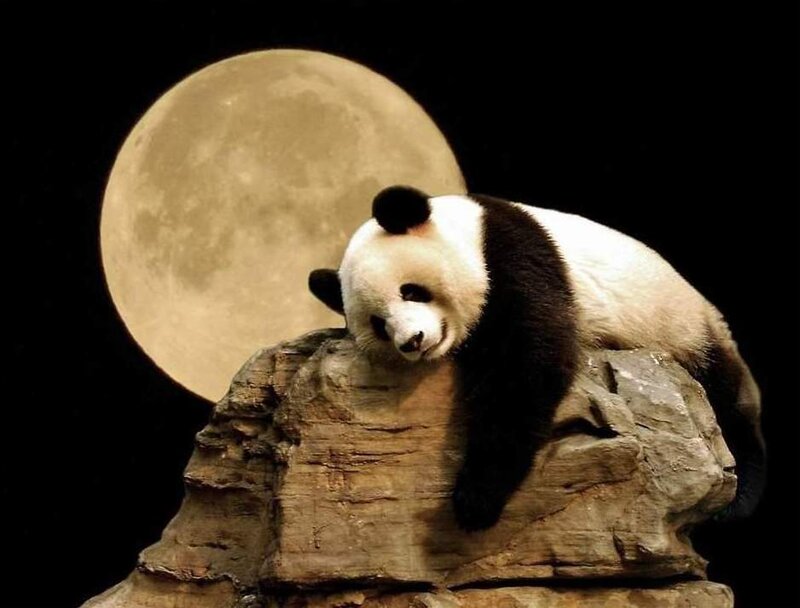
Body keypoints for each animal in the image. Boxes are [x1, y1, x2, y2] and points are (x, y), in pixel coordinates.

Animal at [308, 185, 765, 531]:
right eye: (379, 324)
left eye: (411, 291)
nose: (413, 341)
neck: (466, 231)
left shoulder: (515, 257)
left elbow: (528, 366)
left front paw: (476, 500)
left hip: (681, 323)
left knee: (726, 397)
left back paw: (737, 494)